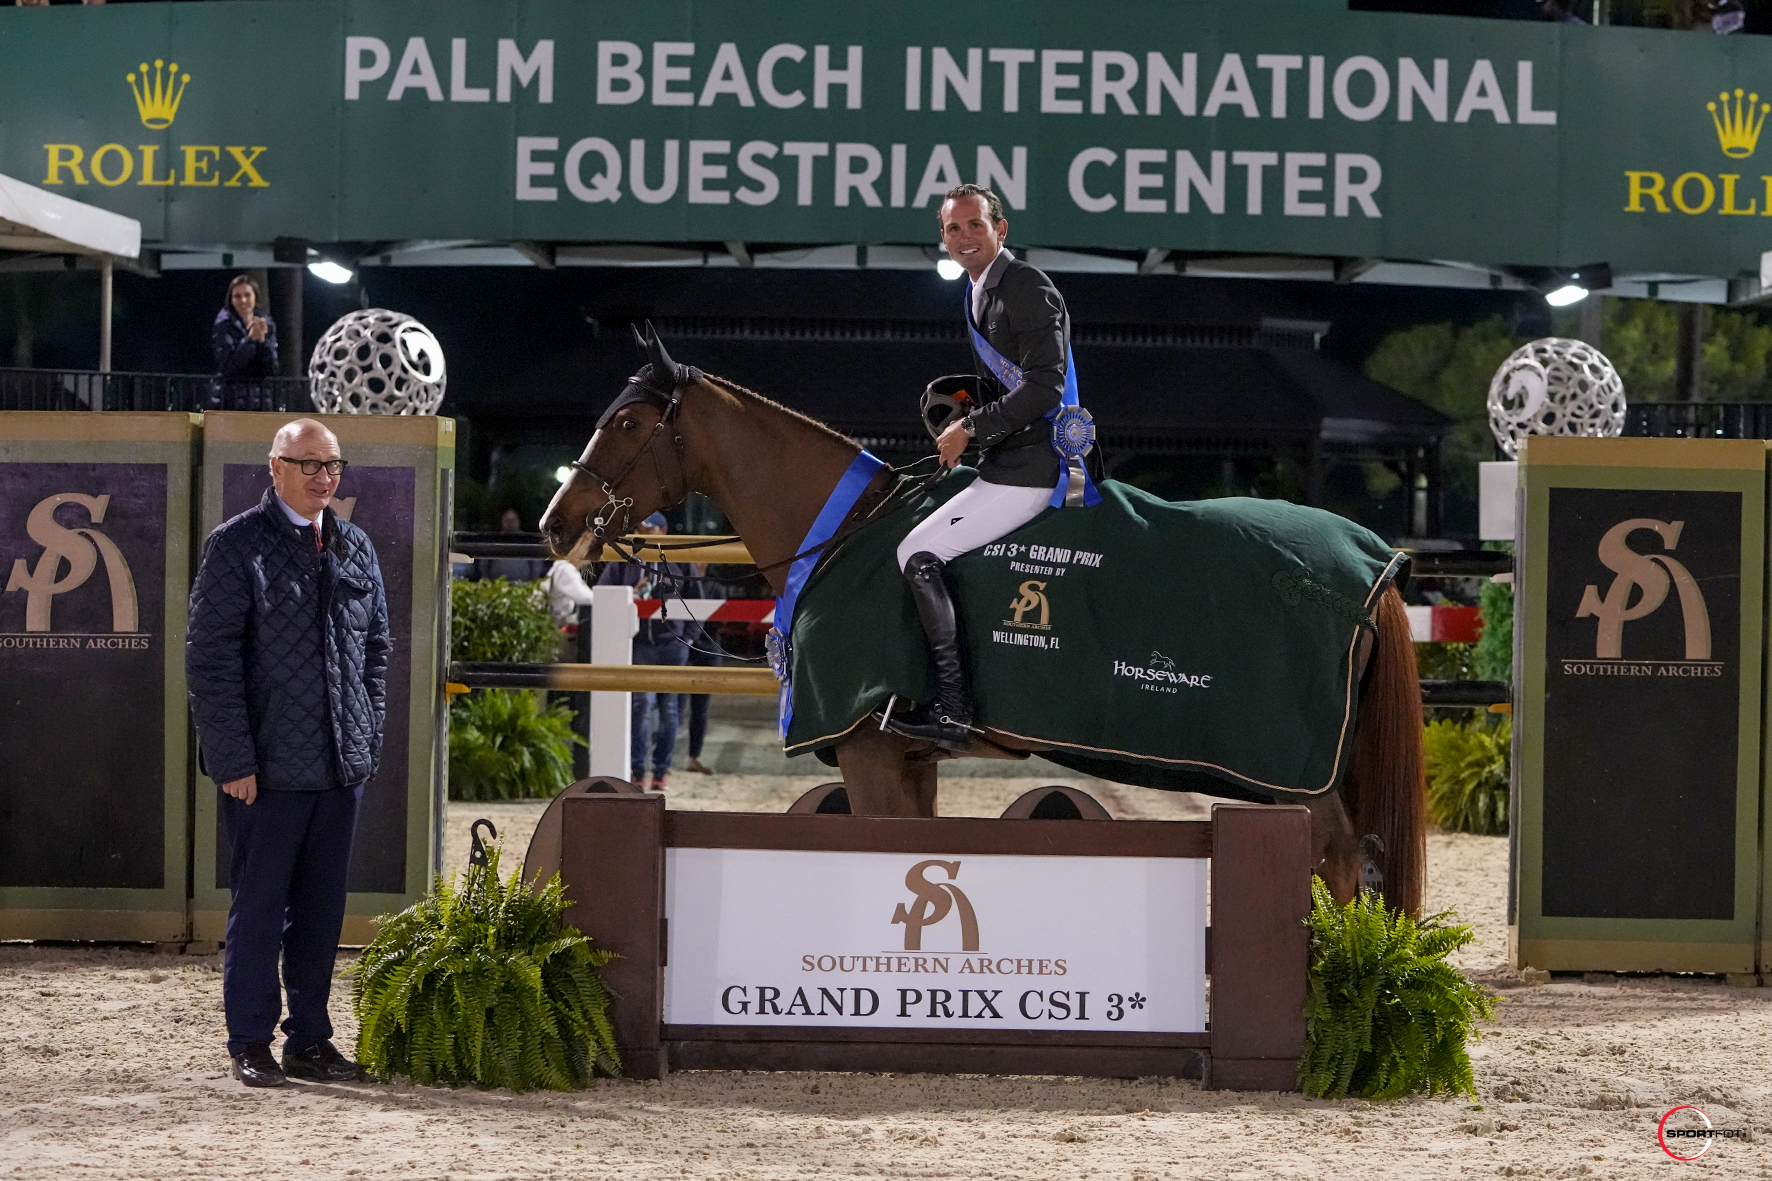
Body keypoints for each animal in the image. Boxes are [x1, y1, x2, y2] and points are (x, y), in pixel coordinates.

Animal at [538, 331, 1424, 907]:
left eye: (627, 422)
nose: (557, 522)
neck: (844, 528)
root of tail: (1369, 559)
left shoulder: (865, 748)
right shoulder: (906, 753)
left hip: (1294, 770)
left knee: (1340, 858)